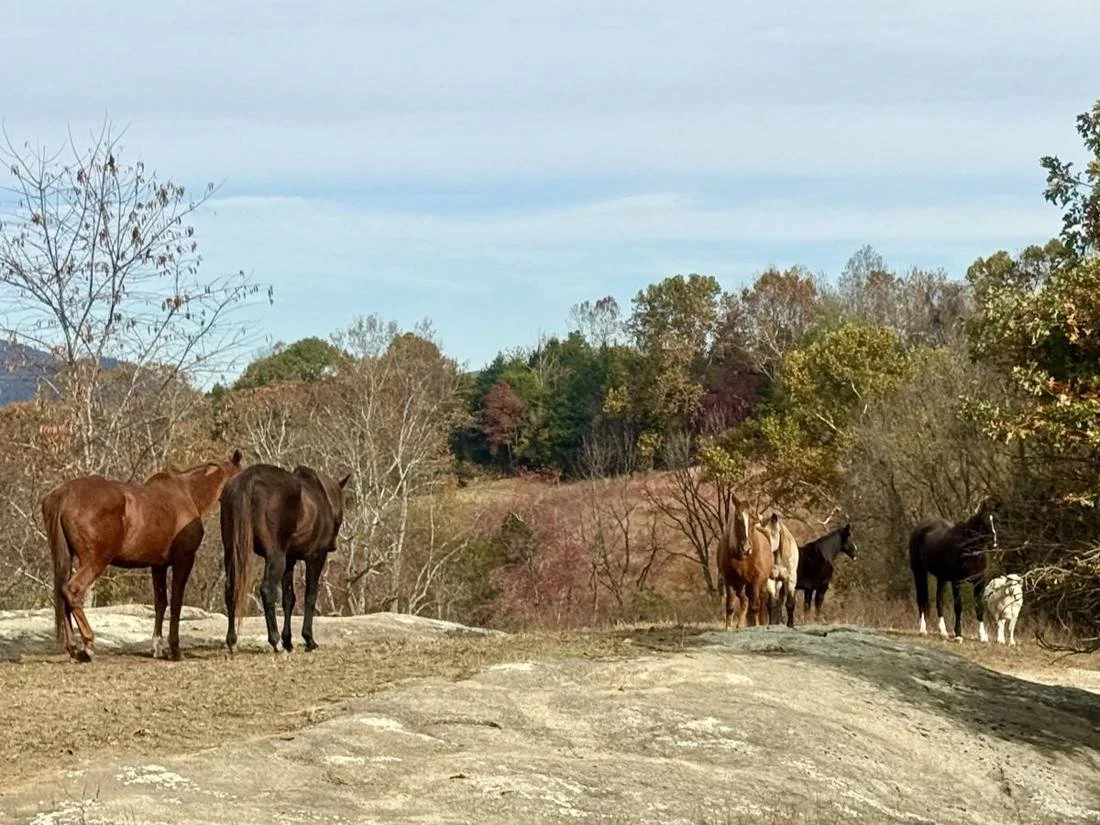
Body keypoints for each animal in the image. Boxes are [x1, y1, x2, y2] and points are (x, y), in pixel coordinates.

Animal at [42, 450, 243, 662]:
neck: (187, 494)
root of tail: (64, 495)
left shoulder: (159, 565)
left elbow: (160, 603)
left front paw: (157, 647)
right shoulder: (184, 560)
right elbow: (176, 602)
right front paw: (175, 649)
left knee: (62, 595)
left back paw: (73, 648)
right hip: (95, 561)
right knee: (72, 591)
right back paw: (88, 645)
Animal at [221, 463, 349, 654]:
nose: (333, 546)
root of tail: (248, 479)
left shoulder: (290, 560)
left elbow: (289, 598)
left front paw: (288, 640)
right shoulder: (315, 557)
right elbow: (310, 596)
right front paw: (308, 639)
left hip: (232, 551)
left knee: (231, 589)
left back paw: (232, 641)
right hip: (275, 556)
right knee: (267, 590)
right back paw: (274, 641)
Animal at [717, 499, 780, 629]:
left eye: (753, 518)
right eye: (738, 518)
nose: (746, 548)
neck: (743, 557)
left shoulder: (755, 579)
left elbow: (755, 606)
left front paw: (754, 625)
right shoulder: (729, 579)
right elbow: (730, 606)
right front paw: (728, 627)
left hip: (761, 582)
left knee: (760, 601)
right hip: (740, 584)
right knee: (745, 600)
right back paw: (740, 624)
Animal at [909, 497, 1001, 642]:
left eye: (996, 520)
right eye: (984, 521)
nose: (994, 544)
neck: (970, 549)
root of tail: (919, 528)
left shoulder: (979, 582)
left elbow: (979, 607)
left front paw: (983, 636)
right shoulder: (957, 581)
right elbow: (958, 606)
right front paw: (958, 635)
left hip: (941, 578)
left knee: (939, 601)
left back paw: (943, 632)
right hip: (919, 572)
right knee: (921, 599)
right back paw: (923, 630)